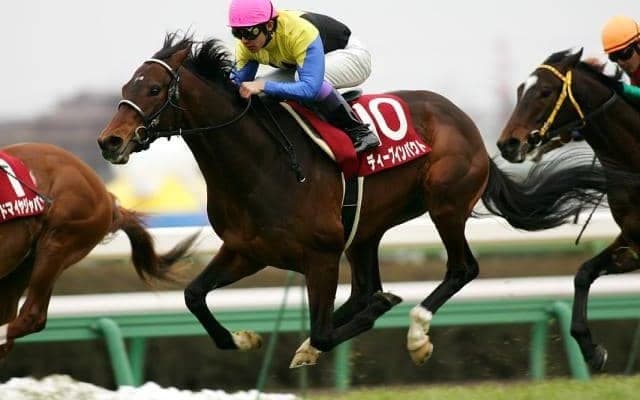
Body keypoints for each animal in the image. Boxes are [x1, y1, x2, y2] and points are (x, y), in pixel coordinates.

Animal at [97, 35, 608, 368]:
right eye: (126, 87)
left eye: (154, 89)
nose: (109, 142)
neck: (260, 164)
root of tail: (472, 128)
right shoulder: (246, 250)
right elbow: (194, 295)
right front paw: (243, 338)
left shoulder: (320, 256)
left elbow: (326, 329)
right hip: (367, 228)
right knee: (364, 288)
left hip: (445, 204)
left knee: (461, 268)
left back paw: (416, 333)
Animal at [497, 47, 640, 371]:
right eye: (520, 90)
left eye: (545, 92)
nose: (507, 144)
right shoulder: (634, 241)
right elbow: (583, 273)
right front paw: (590, 349)